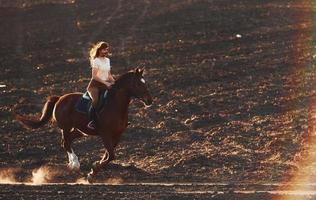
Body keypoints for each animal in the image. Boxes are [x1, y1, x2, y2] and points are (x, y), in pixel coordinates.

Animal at [16, 67, 152, 181]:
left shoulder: (117, 135)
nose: (149, 101)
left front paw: (94, 170)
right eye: (138, 84)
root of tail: (60, 98)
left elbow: (108, 155)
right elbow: (111, 155)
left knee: (68, 141)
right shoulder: (105, 134)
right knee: (65, 142)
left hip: (80, 131)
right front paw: (93, 172)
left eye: (145, 83)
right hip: (66, 127)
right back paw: (75, 164)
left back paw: (72, 164)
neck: (115, 105)